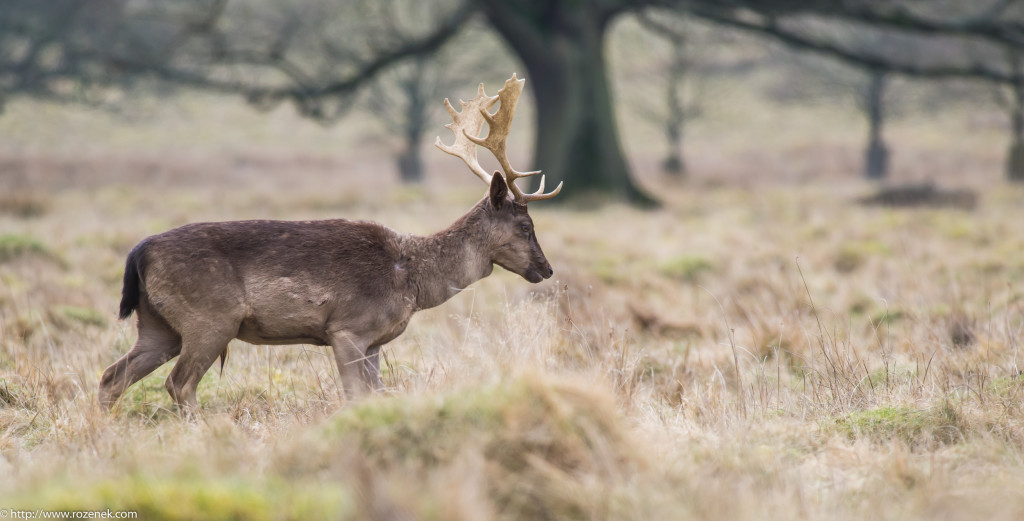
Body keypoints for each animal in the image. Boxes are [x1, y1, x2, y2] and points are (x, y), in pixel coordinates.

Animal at [96, 74, 565, 413]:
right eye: (526, 225)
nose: (546, 269)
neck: (412, 279)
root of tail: (138, 253)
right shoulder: (348, 328)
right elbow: (355, 396)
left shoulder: (375, 342)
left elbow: (379, 395)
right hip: (209, 318)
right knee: (178, 384)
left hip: (157, 324)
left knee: (111, 377)